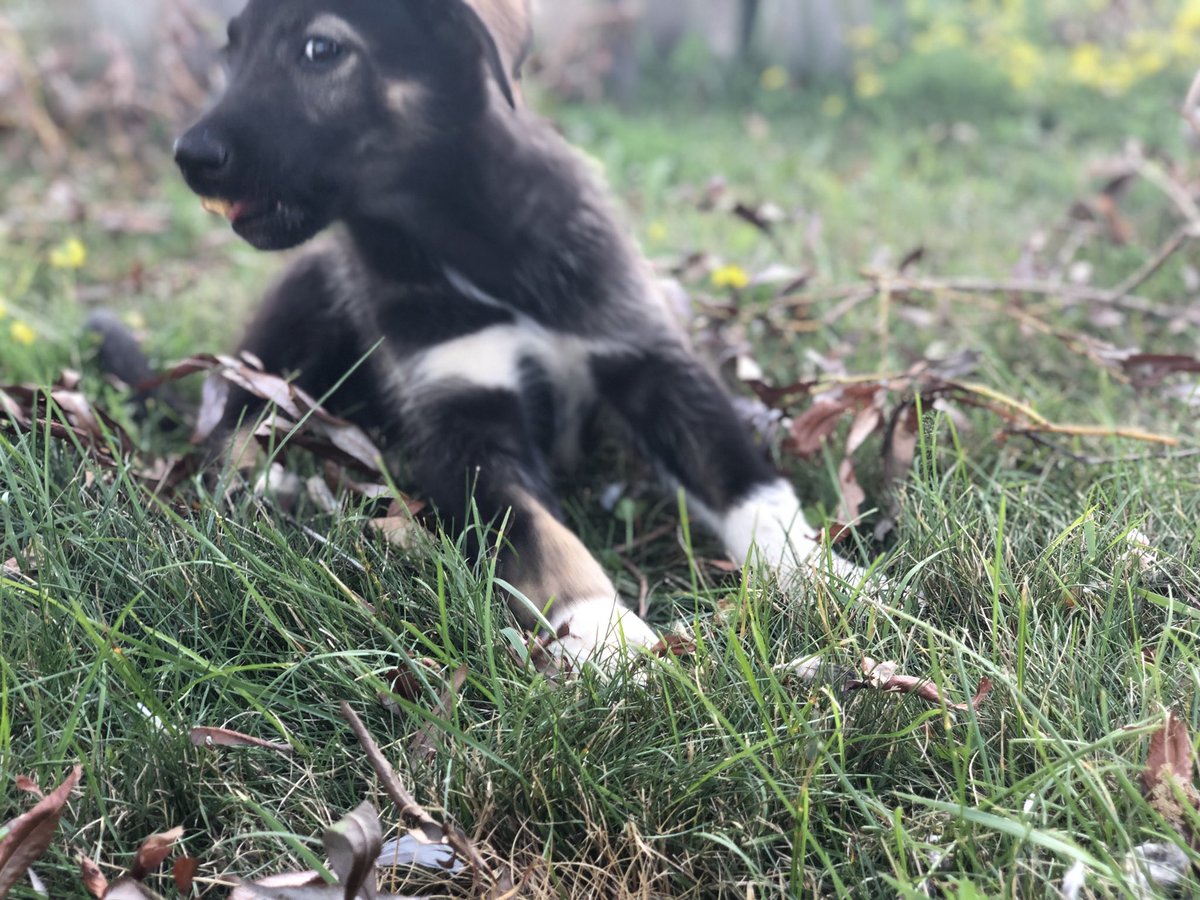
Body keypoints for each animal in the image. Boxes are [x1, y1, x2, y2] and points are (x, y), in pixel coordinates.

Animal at [175, 0, 873, 662]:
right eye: (231, 50)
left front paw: (824, 575)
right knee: (231, 419)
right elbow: (545, 538)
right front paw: (607, 638)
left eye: (320, 49)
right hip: (291, 318)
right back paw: (265, 481)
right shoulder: (463, 425)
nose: (189, 156)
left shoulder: (649, 357)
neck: (467, 241)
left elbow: (747, 482)